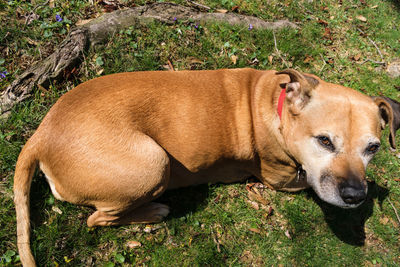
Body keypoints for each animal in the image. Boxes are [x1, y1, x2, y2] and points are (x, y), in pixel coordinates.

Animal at [14, 69, 398, 266]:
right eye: (324, 141)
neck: (275, 104)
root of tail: (41, 136)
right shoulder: (285, 179)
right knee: (98, 218)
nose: (355, 195)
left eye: (373, 148)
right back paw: (153, 211)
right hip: (154, 162)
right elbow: (310, 181)